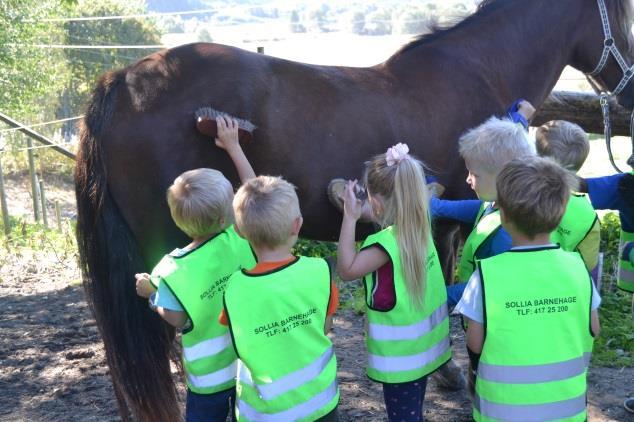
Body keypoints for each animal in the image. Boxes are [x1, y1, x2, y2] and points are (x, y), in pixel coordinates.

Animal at [75, 0, 632, 418]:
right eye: (622, 12)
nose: (629, 89)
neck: (479, 71)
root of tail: (123, 80)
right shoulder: (447, 226)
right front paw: (450, 371)